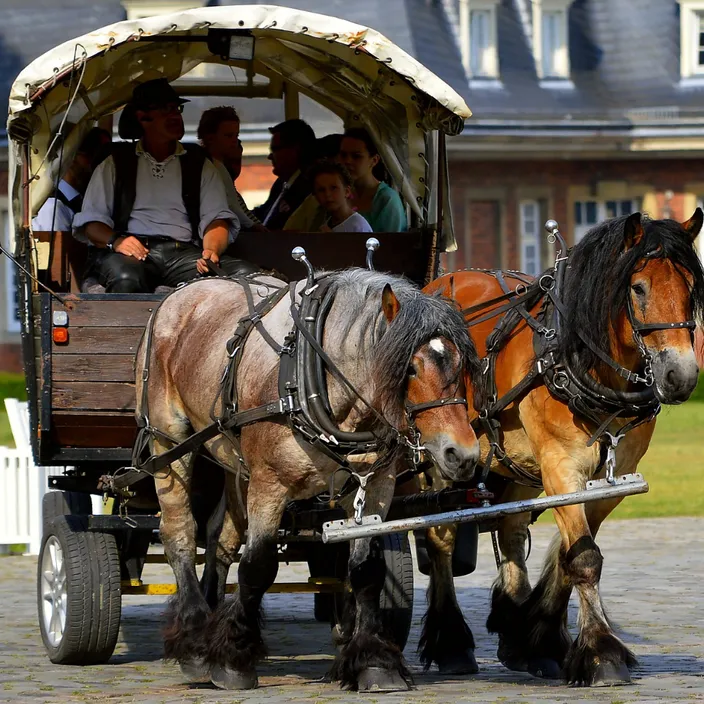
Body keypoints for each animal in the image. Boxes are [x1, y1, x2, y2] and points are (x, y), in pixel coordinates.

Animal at [135, 270, 482, 692]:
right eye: (410, 368)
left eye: (462, 366)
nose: (462, 454)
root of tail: (182, 293)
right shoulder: (269, 484)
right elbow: (257, 566)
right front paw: (233, 660)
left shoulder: (376, 487)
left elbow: (366, 571)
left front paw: (374, 661)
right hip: (168, 442)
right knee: (180, 533)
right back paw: (196, 640)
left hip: (233, 460)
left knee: (220, 538)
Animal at [420, 212, 700, 684]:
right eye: (638, 288)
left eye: (691, 288)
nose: (681, 376)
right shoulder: (560, 467)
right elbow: (583, 558)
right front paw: (602, 654)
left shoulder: (612, 480)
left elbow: (571, 558)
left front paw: (542, 636)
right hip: (440, 457)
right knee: (440, 537)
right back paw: (452, 643)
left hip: (515, 463)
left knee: (511, 530)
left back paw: (515, 628)